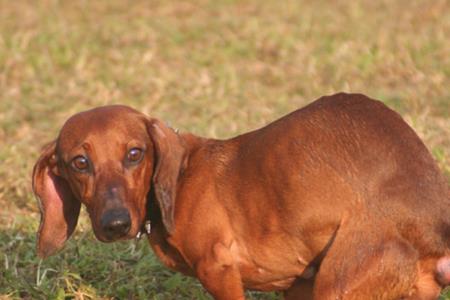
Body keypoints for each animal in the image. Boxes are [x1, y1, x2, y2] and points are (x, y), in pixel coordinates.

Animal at [32, 92, 450, 298]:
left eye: (134, 154)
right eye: (79, 162)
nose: (116, 224)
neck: (180, 180)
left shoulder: (219, 270)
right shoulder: (299, 285)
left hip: (340, 286)